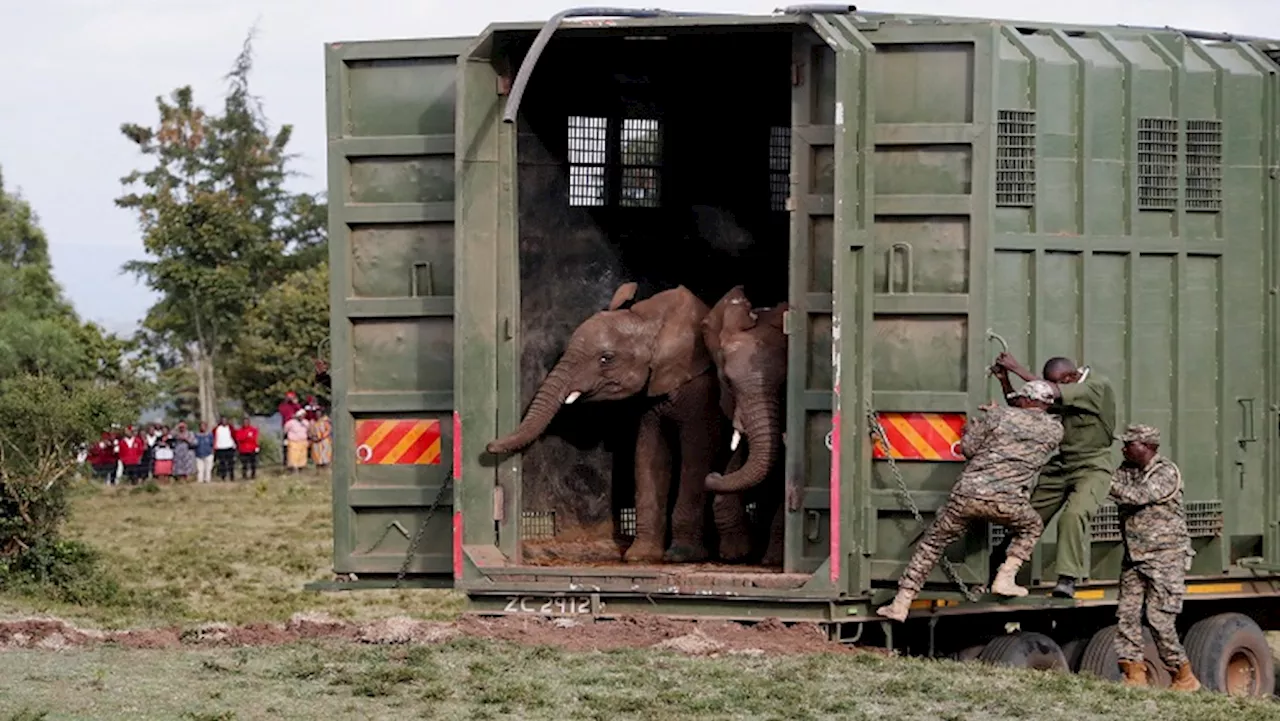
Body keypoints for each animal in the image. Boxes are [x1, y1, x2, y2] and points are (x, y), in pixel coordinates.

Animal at [481, 280, 721, 563]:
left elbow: (696, 458)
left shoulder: (702, 391)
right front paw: (639, 557)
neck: (651, 319)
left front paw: (681, 556)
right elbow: (649, 456)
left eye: (606, 358)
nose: (488, 446)